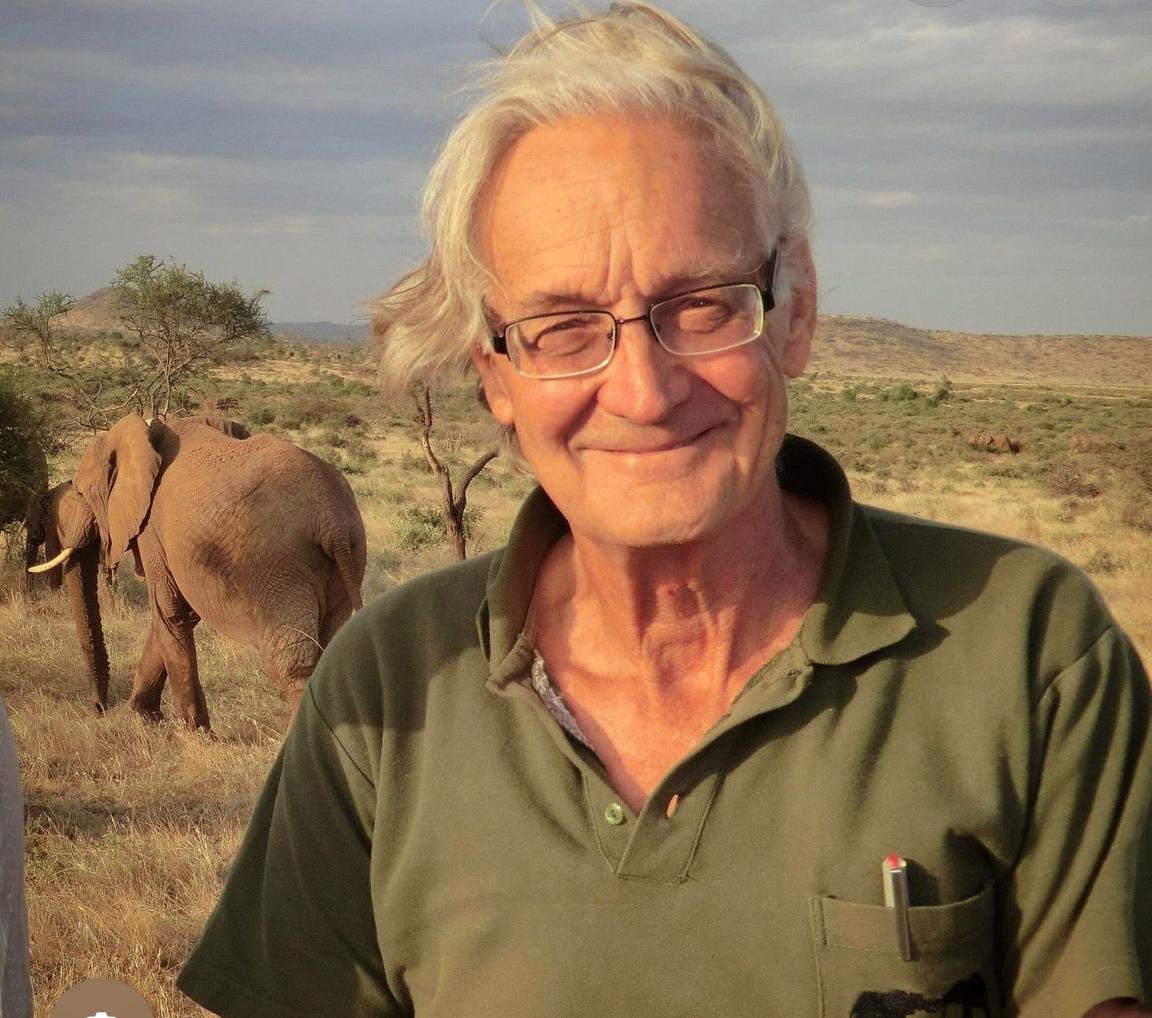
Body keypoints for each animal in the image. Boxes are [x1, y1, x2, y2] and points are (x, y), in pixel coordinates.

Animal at [30, 414, 367, 730]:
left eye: (84, 493)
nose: (99, 709)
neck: (147, 430)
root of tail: (333, 521)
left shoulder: (152, 528)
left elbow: (170, 611)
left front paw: (196, 733)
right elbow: (180, 614)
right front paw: (144, 717)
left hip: (278, 566)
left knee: (291, 664)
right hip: (343, 562)